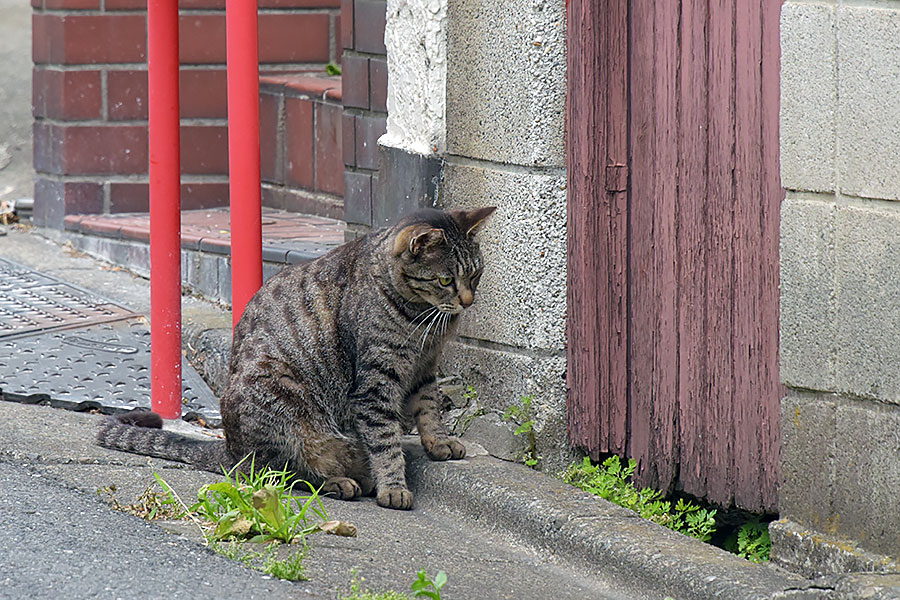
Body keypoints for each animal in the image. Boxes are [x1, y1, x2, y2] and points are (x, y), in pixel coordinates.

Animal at [98, 207, 496, 510]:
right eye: (445, 280)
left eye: (475, 274)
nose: (467, 301)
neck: (420, 318)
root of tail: (231, 450)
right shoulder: (376, 381)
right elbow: (385, 440)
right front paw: (394, 486)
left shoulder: (424, 368)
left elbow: (429, 409)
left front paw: (439, 442)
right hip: (282, 401)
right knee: (278, 474)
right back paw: (338, 482)